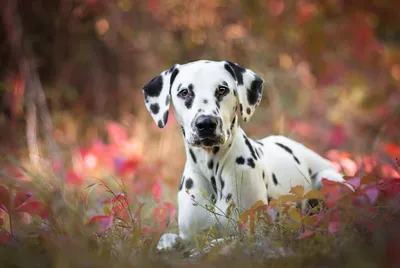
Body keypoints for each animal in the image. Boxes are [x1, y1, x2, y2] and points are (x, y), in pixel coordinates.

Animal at [142, 60, 346, 249]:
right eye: (184, 92)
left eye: (222, 89)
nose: (206, 123)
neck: (212, 171)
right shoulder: (188, 235)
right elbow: (167, 238)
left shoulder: (258, 232)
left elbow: (224, 241)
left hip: (328, 179)